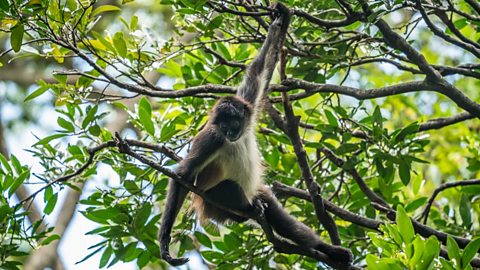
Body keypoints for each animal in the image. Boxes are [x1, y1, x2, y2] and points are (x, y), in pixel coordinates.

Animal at [159, 3, 350, 266]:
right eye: (223, 124)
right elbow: (183, 176)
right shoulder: (212, 138)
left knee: (277, 215)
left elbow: (260, 71)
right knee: (228, 186)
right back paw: (249, 210)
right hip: (212, 204)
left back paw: (327, 249)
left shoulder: (246, 102)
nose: (230, 131)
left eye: (234, 121)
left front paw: (280, 20)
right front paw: (165, 245)